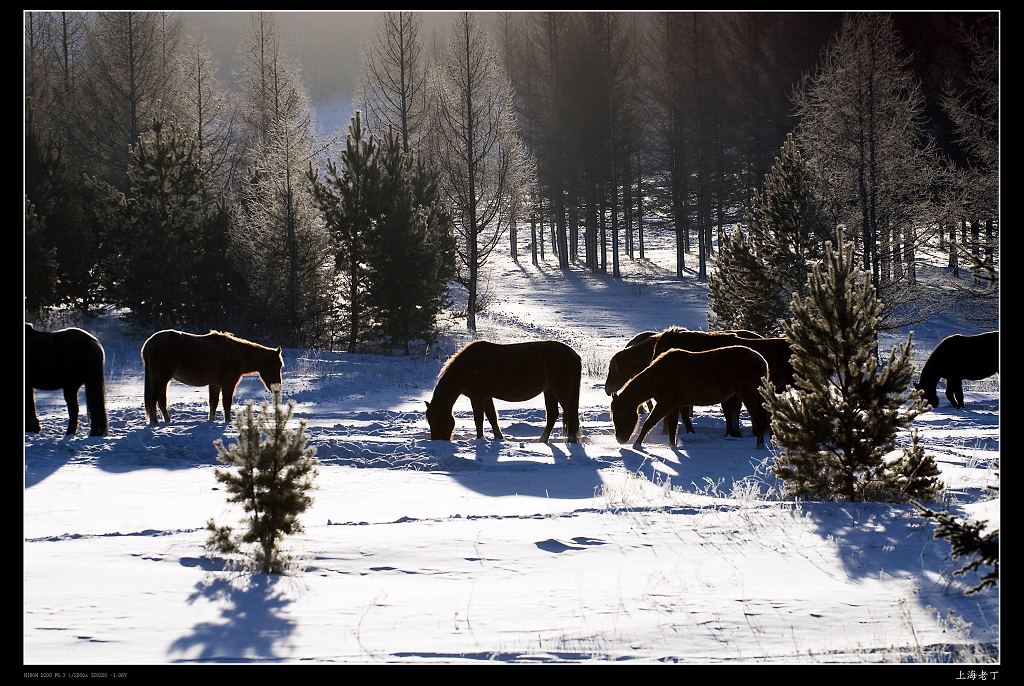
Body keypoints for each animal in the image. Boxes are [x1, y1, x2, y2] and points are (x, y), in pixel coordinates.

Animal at [140, 329, 282, 423]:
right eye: (277, 365)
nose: (277, 387)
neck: (239, 353)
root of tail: (148, 344)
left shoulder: (215, 384)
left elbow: (213, 402)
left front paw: (211, 420)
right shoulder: (228, 384)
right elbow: (226, 403)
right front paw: (228, 421)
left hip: (164, 380)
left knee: (161, 400)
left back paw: (167, 421)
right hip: (161, 378)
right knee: (154, 398)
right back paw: (154, 422)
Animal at [423, 339, 581, 446]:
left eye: (436, 420)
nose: (437, 441)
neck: (467, 367)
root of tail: (574, 355)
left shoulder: (477, 397)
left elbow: (479, 419)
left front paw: (480, 439)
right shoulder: (486, 397)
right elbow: (492, 417)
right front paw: (499, 438)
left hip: (560, 390)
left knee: (570, 413)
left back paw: (570, 441)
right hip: (549, 391)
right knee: (553, 414)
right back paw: (542, 441)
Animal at [606, 350, 770, 450]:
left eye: (620, 415)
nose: (620, 439)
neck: (655, 378)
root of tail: (763, 362)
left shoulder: (665, 404)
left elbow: (649, 423)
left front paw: (637, 445)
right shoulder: (673, 406)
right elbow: (672, 429)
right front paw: (672, 446)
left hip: (749, 394)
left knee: (759, 418)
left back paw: (759, 445)